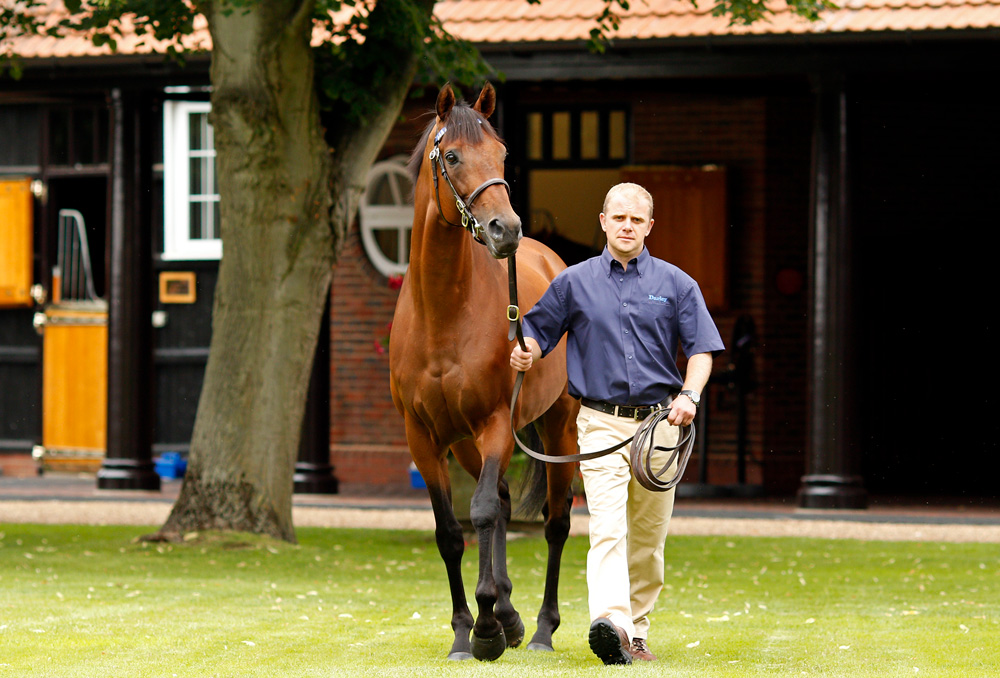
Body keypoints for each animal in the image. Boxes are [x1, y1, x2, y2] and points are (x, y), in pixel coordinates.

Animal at [388, 82, 580, 660]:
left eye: (501, 154)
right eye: (451, 156)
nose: (506, 230)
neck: (442, 315)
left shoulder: (494, 422)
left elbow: (482, 514)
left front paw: (488, 626)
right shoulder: (424, 438)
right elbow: (452, 530)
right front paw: (464, 631)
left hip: (556, 428)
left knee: (554, 523)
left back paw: (537, 629)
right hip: (467, 443)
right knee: (499, 503)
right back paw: (511, 616)